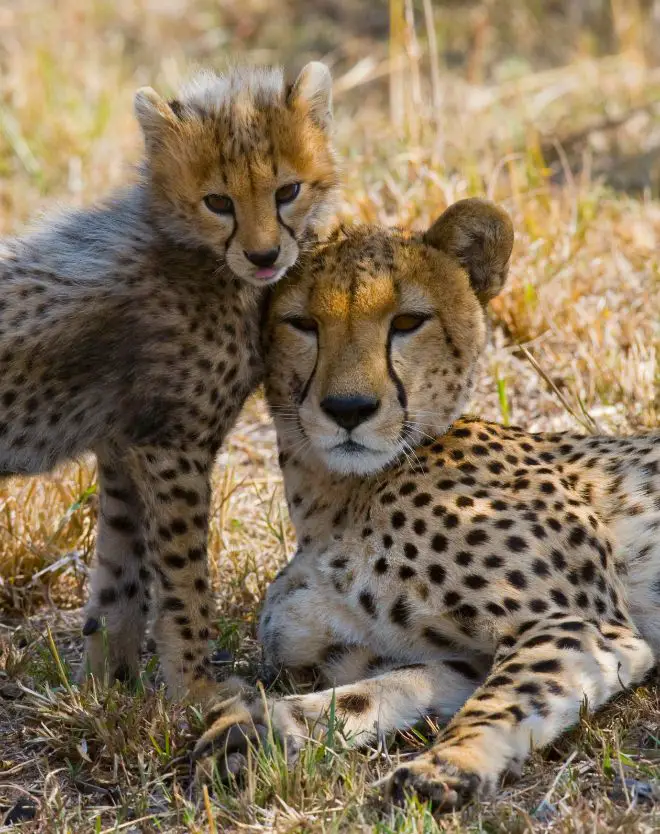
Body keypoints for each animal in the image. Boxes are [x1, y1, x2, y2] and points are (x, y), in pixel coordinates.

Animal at [1, 63, 340, 704]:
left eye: (287, 191)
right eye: (218, 201)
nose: (264, 256)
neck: (197, 255)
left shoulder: (122, 448)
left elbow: (119, 577)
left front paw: (106, 689)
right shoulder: (172, 448)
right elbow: (184, 577)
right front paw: (196, 689)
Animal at [199, 198, 656, 808]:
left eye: (407, 322)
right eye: (302, 324)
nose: (349, 408)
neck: (335, 500)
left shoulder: (587, 625)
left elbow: (506, 698)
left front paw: (447, 764)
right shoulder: (453, 659)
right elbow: (377, 688)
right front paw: (263, 727)